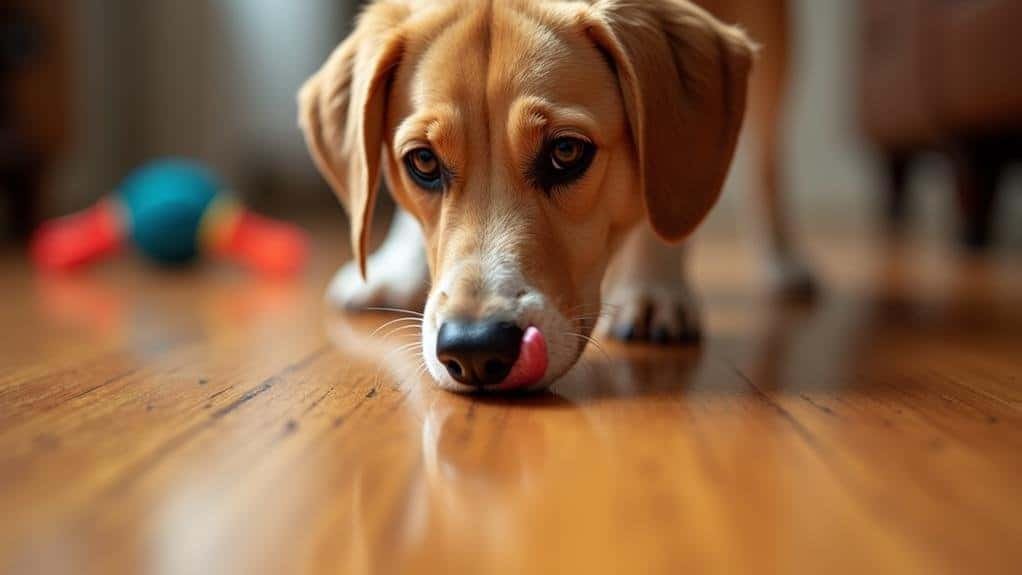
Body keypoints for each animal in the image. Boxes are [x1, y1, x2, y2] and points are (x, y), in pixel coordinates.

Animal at [298, 0, 813, 392]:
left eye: (566, 151)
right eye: (423, 161)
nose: (475, 348)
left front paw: (652, 290)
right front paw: (394, 269)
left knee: (767, 166)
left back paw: (785, 262)